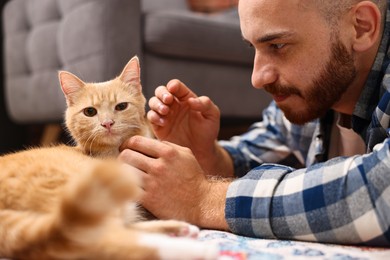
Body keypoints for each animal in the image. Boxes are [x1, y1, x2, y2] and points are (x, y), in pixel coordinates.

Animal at [0, 57, 219, 260]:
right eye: (90, 111)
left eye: (121, 106)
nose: (107, 123)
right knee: (98, 241)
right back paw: (197, 250)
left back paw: (180, 230)